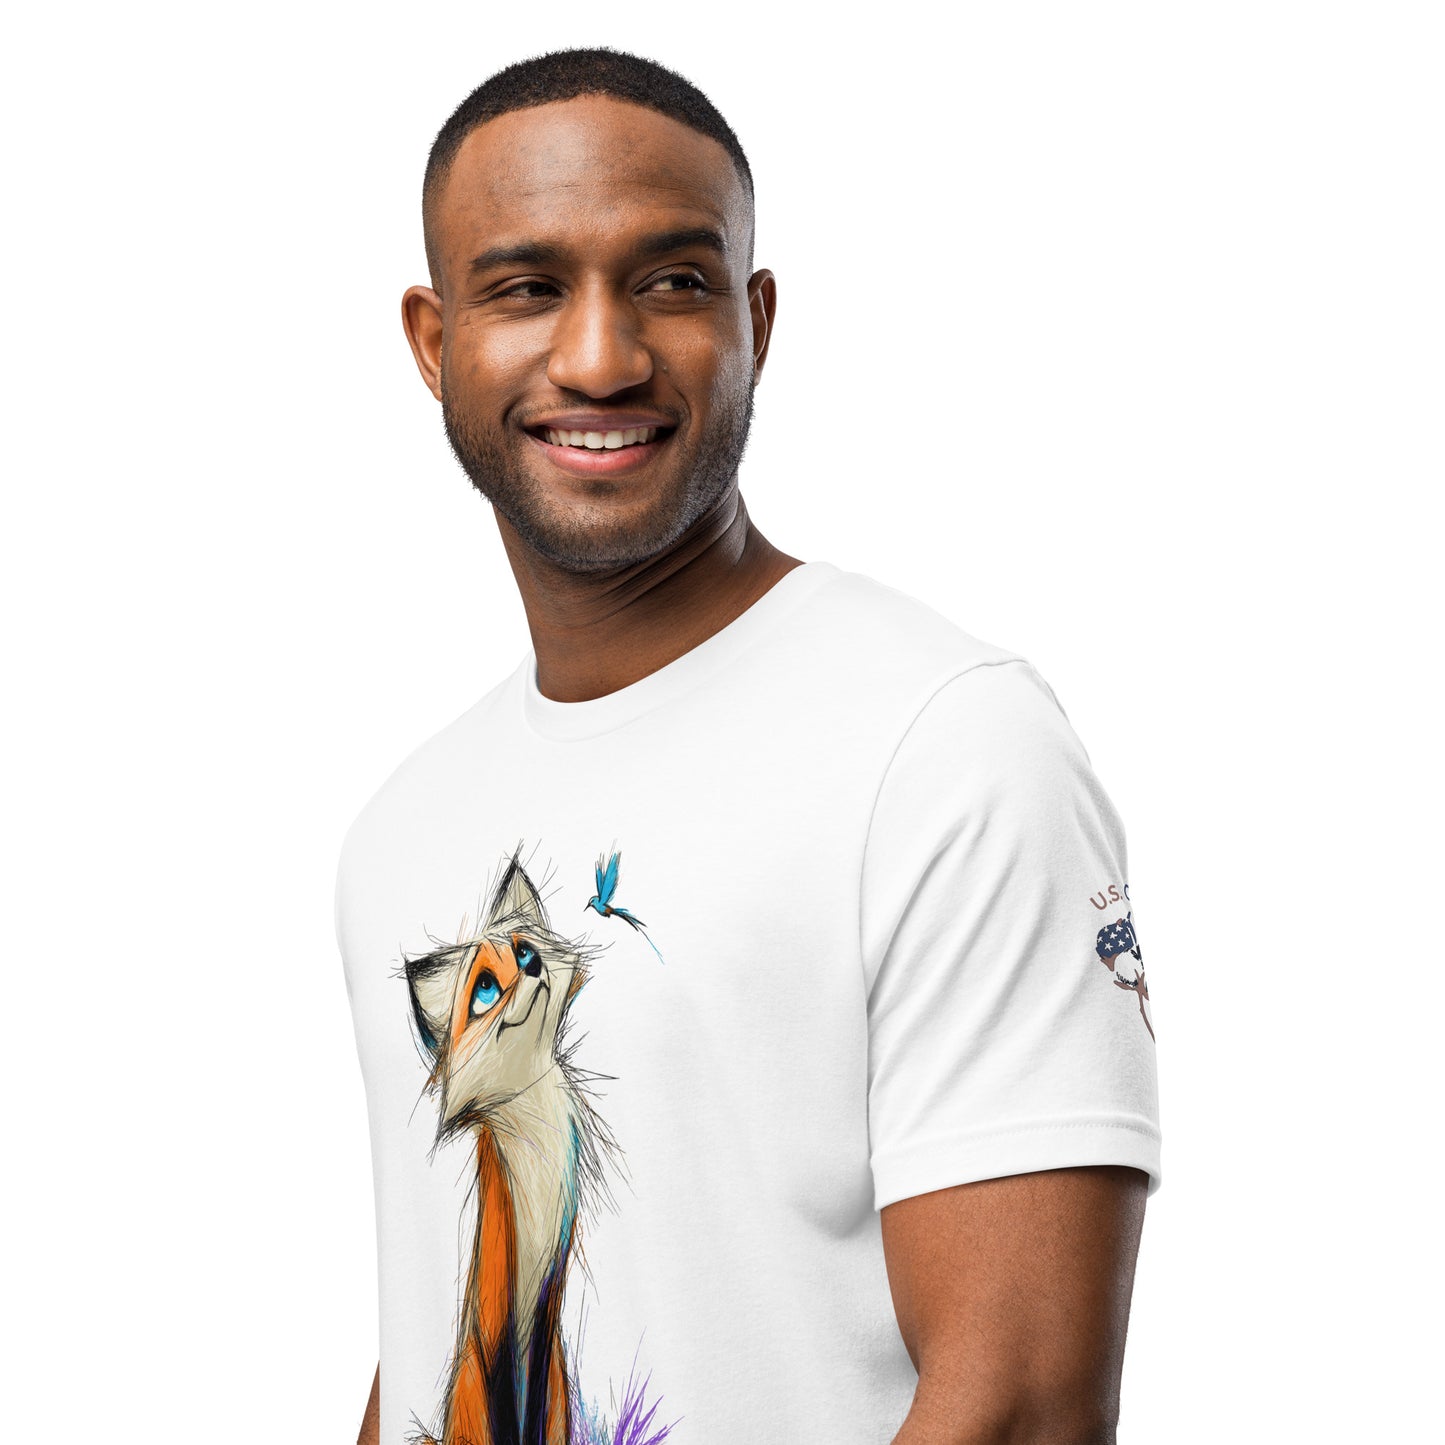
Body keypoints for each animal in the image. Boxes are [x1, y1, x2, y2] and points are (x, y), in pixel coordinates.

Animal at [403, 852, 619, 1445]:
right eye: (483, 989)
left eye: (523, 950)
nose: (533, 967)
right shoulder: (500, 1307)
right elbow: (507, 1410)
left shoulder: (548, 1297)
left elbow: (537, 1403)